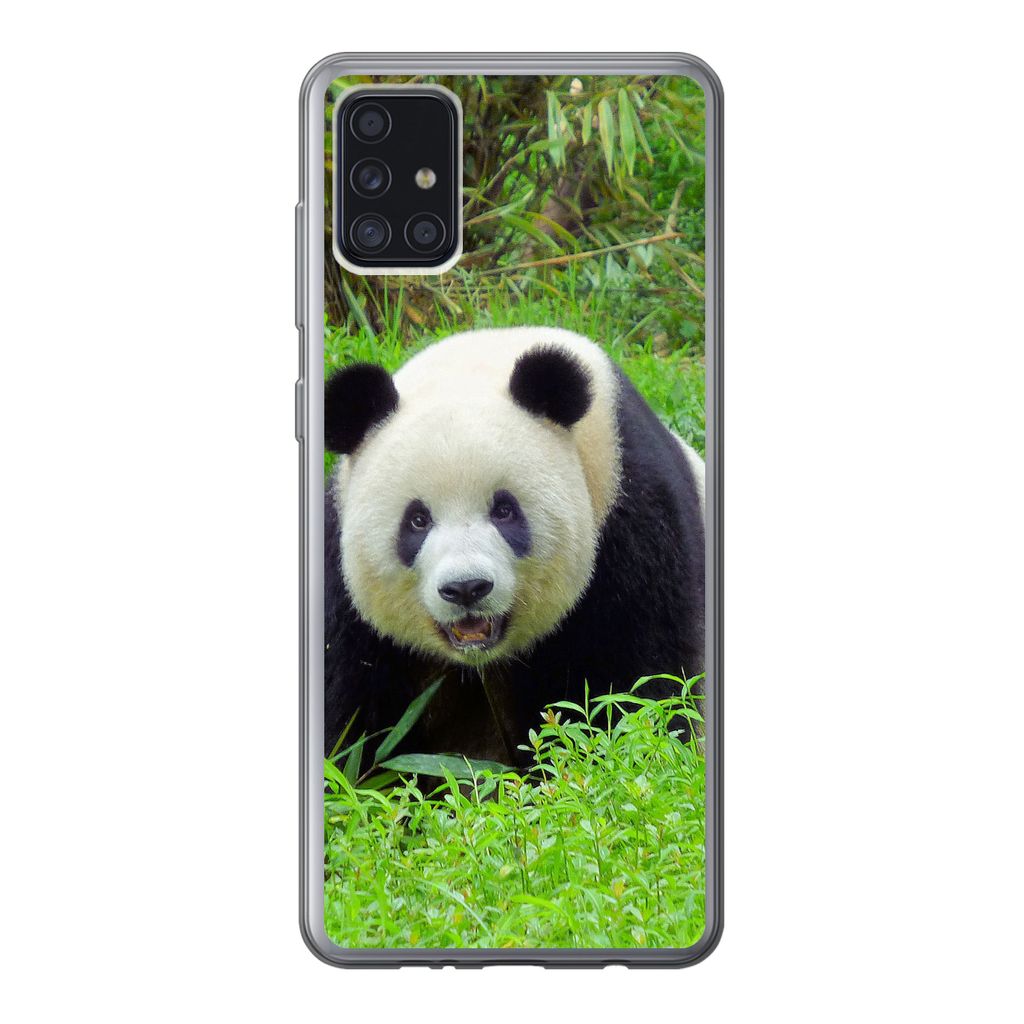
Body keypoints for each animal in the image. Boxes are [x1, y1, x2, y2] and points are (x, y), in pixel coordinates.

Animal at [324, 326, 705, 766]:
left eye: (504, 510)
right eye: (417, 520)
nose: (466, 588)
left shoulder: (631, 516)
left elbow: (639, 682)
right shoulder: (343, 587)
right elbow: (350, 714)